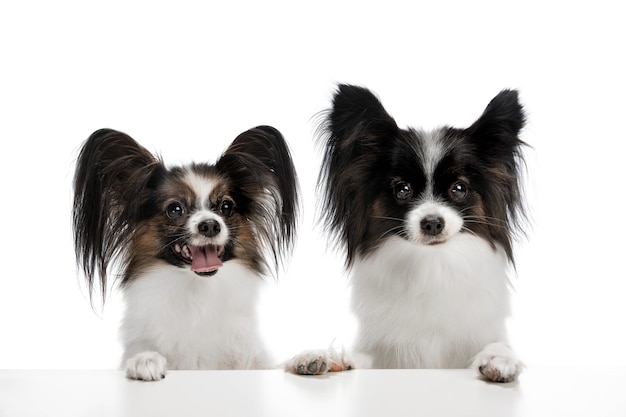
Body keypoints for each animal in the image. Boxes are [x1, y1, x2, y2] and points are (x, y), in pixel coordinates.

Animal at [72, 125, 298, 378]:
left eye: (226, 206)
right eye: (175, 209)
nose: (210, 225)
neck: (196, 293)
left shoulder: (252, 358)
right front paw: (145, 361)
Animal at [288, 83, 528, 380]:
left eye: (459, 188)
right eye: (402, 189)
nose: (433, 223)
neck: (432, 265)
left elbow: (495, 347)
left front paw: (499, 358)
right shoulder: (386, 355)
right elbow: (357, 358)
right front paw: (323, 356)